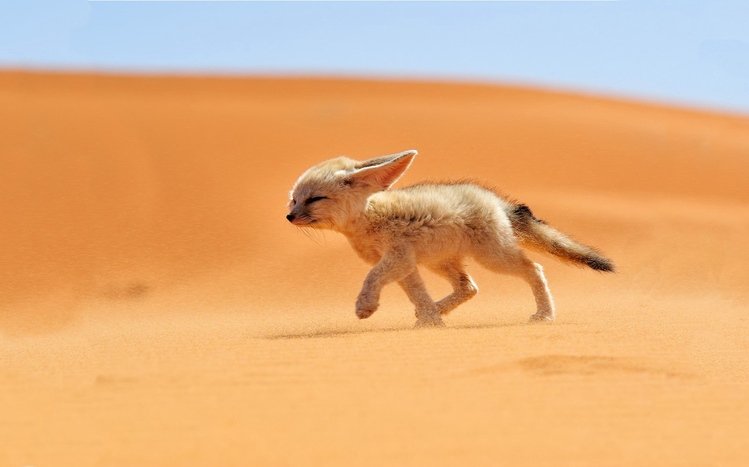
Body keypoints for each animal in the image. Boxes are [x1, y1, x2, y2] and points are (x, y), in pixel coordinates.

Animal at [286, 149, 614, 327]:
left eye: (315, 199)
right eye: (294, 200)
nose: (289, 217)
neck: (369, 218)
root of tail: (496, 200)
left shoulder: (397, 258)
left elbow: (371, 277)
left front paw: (365, 306)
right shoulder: (406, 265)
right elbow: (417, 293)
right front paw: (431, 321)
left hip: (493, 258)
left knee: (534, 268)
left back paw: (545, 314)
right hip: (441, 262)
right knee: (469, 287)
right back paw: (436, 310)